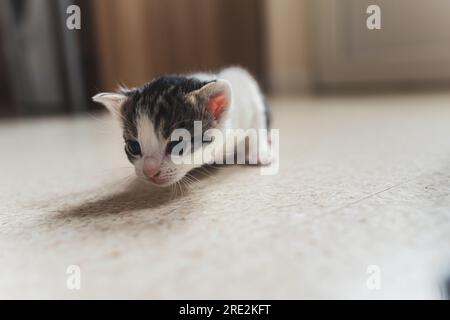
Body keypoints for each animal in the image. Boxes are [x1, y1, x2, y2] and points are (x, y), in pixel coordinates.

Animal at [92, 67, 270, 188]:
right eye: (133, 147)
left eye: (177, 145)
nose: (149, 172)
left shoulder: (245, 90)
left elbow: (257, 123)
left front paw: (259, 153)